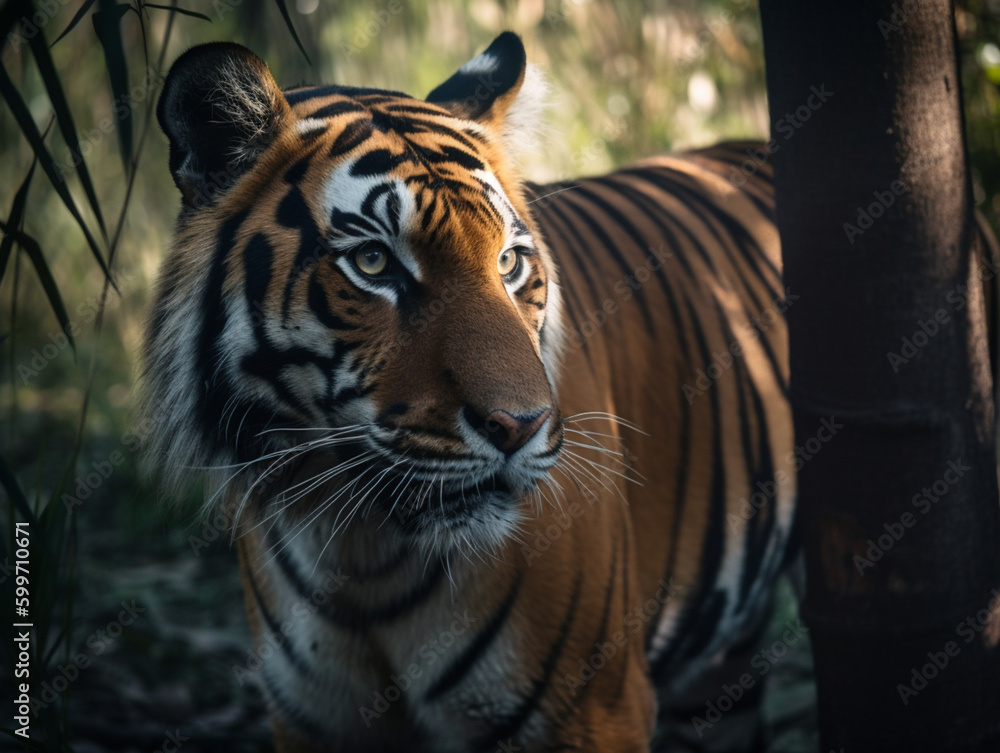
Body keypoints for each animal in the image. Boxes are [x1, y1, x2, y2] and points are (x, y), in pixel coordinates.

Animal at [141, 32, 796, 752]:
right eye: (373, 262)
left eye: (508, 262)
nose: (520, 425)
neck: (360, 556)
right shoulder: (313, 721)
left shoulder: (594, 709)